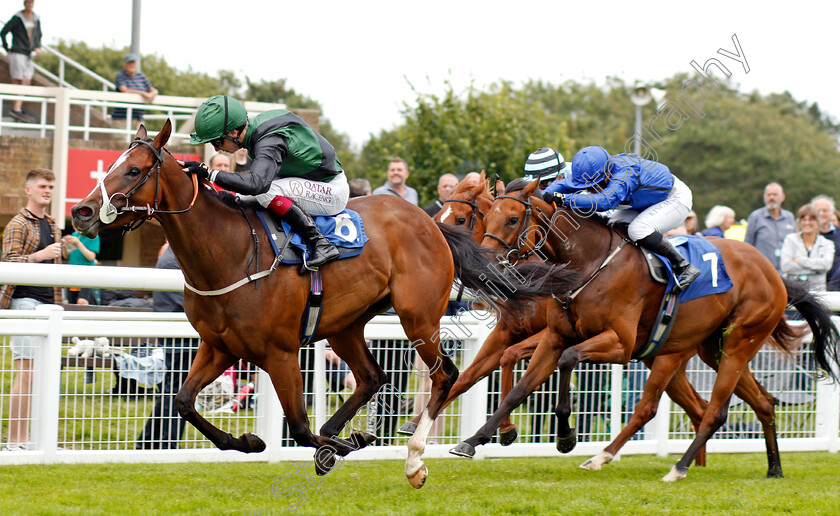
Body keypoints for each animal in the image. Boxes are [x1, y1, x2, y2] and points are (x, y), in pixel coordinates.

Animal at [70, 123, 576, 490]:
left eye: (134, 170)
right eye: (111, 164)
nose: (81, 212)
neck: (229, 250)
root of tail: (430, 222)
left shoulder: (278, 353)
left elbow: (296, 425)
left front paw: (331, 445)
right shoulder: (219, 346)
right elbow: (183, 402)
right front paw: (252, 440)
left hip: (417, 316)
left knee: (445, 374)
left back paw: (411, 460)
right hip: (345, 324)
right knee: (372, 376)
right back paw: (350, 435)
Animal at [452, 179, 840, 482]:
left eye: (512, 218)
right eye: (488, 215)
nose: (485, 266)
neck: (589, 262)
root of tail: (773, 272)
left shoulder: (619, 344)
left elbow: (567, 360)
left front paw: (565, 436)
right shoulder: (553, 337)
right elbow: (518, 387)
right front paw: (475, 439)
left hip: (736, 342)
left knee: (697, 410)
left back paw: (670, 466)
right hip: (711, 349)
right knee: (760, 402)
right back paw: (773, 467)